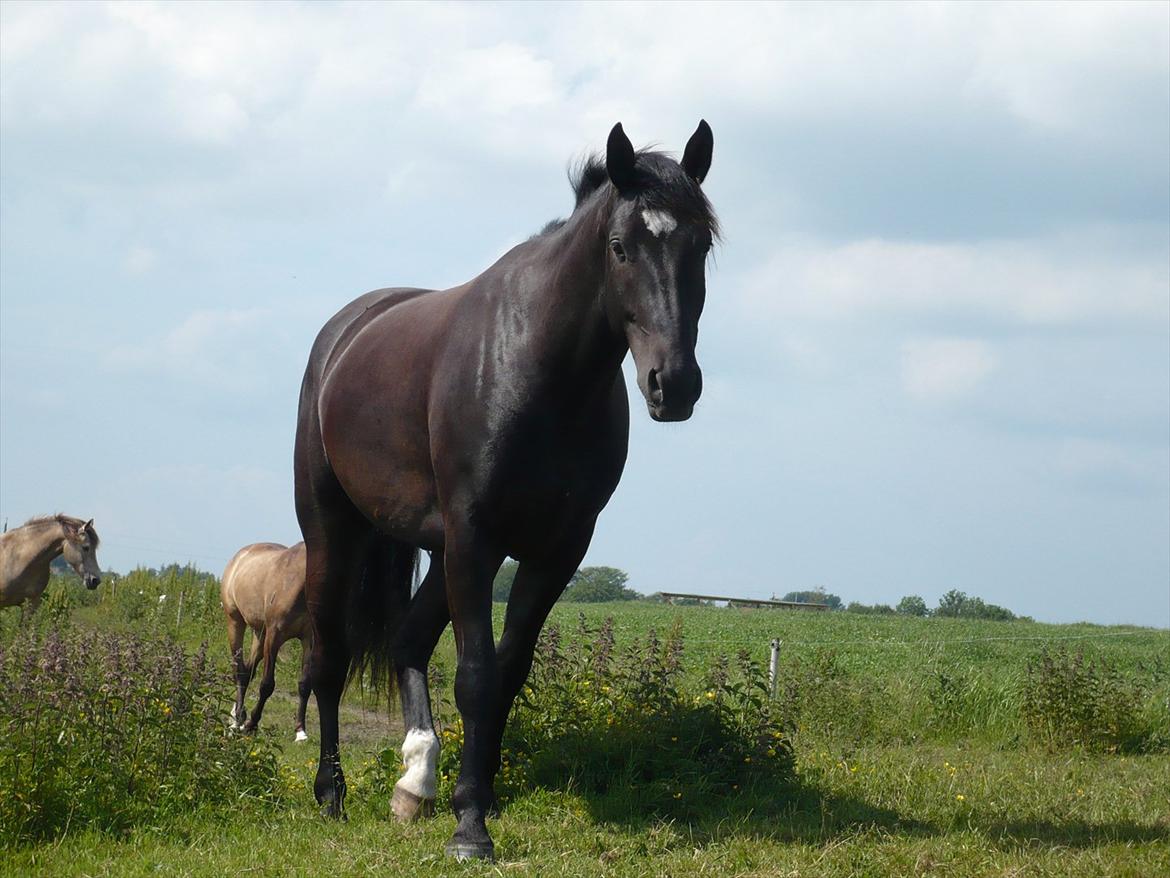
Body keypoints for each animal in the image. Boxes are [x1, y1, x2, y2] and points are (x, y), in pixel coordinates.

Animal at [221, 543, 313, 744]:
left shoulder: (309, 639)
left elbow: (304, 685)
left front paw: (300, 731)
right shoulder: (274, 636)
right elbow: (267, 685)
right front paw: (251, 724)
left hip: (259, 634)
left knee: (247, 671)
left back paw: (237, 715)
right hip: (235, 622)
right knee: (239, 670)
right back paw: (237, 720)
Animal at [294, 118, 711, 861]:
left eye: (703, 244)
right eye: (620, 247)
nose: (675, 384)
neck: (539, 369)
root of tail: (346, 332)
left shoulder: (557, 549)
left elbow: (509, 673)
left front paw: (475, 795)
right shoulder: (477, 538)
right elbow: (477, 674)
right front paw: (470, 830)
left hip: (437, 551)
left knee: (406, 640)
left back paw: (415, 783)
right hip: (333, 532)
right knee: (330, 657)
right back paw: (332, 792)